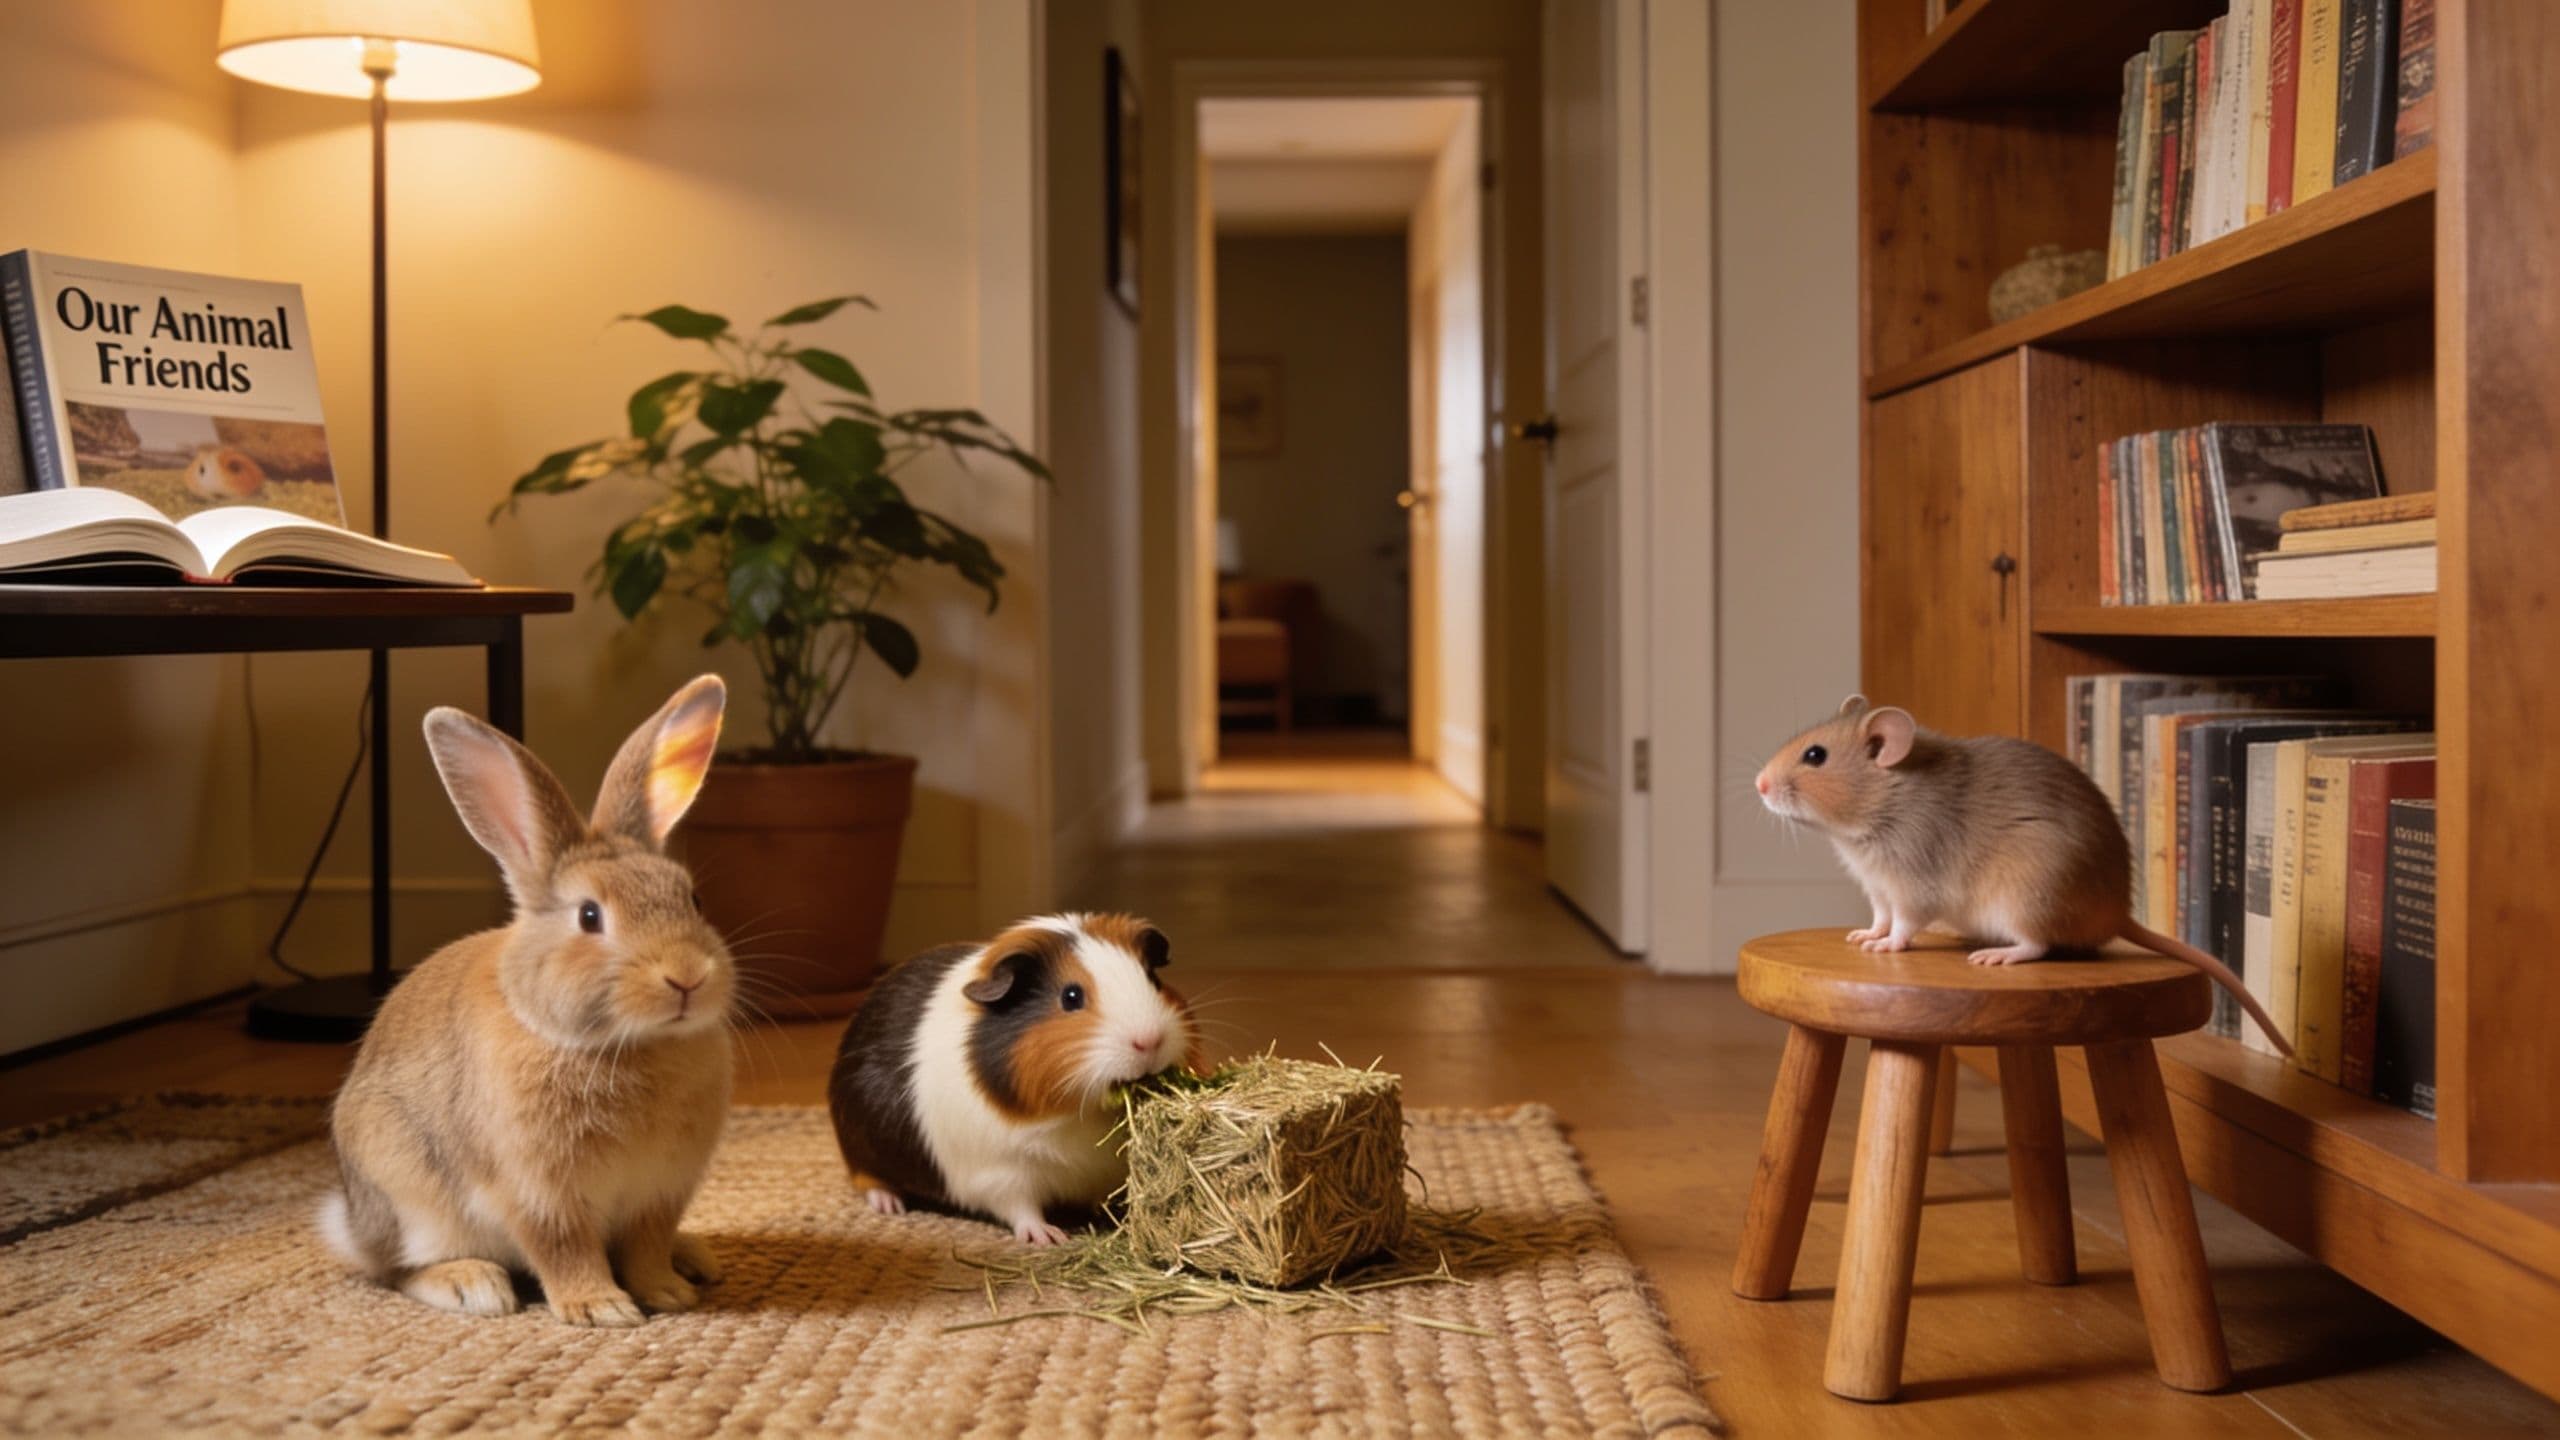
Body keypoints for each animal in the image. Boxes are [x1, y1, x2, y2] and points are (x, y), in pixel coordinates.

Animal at [318, 674, 737, 1327]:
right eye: (589, 916)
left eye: (692, 900)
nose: (687, 978)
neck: (622, 1045)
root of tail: (355, 1226)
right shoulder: (538, 1193)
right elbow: (564, 1249)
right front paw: (601, 1308)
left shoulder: (659, 1193)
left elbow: (646, 1247)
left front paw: (667, 1292)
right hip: (409, 1193)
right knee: (397, 1271)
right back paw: (473, 1285)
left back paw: (694, 1257)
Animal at [827, 913, 1199, 1244]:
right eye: (1071, 996)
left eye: (1153, 980)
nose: (1149, 1041)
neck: (1076, 1115)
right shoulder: (998, 1172)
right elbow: (1021, 1208)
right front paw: (1048, 1238)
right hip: (861, 1147)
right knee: (866, 1179)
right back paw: (890, 1206)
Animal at [1756, 694, 2291, 1056]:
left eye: (1815, 756)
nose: (1760, 784)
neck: (1886, 798)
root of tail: (2117, 914)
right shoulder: (1879, 889)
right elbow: (1880, 918)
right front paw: (1867, 936)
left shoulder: (1912, 883)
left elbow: (1906, 924)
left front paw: (1888, 946)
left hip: (2024, 897)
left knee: (2038, 944)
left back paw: (2001, 954)